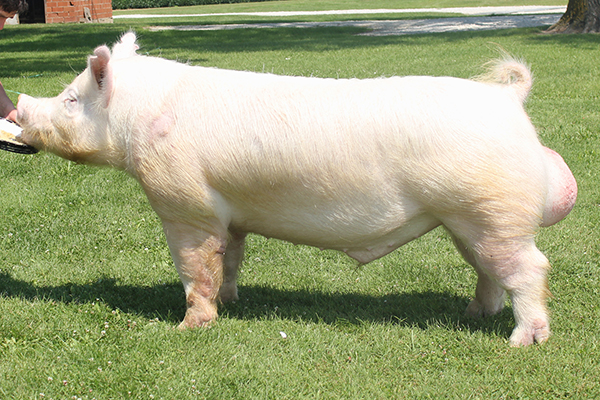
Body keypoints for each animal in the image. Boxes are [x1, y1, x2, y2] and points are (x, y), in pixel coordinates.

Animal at [17, 32, 577, 346]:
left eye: (70, 100)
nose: (20, 107)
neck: (139, 120)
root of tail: (508, 98)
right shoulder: (230, 213)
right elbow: (230, 258)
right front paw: (233, 302)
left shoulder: (184, 203)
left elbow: (195, 266)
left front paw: (188, 328)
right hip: (467, 221)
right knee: (488, 271)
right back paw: (472, 314)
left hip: (493, 211)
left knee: (530, 268)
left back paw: (522, 341)